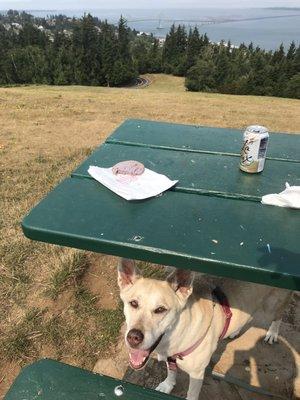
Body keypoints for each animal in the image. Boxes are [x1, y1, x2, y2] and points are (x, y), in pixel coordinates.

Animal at [117, 258, 290, 398]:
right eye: (133, 303)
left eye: (160, 309)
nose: (133, 337)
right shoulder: (171, 358)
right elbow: (171, 371)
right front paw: (167, 385)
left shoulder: (197, 374)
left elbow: (191, 394)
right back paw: (235, 331)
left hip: (273, 305)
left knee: (278, 315)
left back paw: (272, 333)